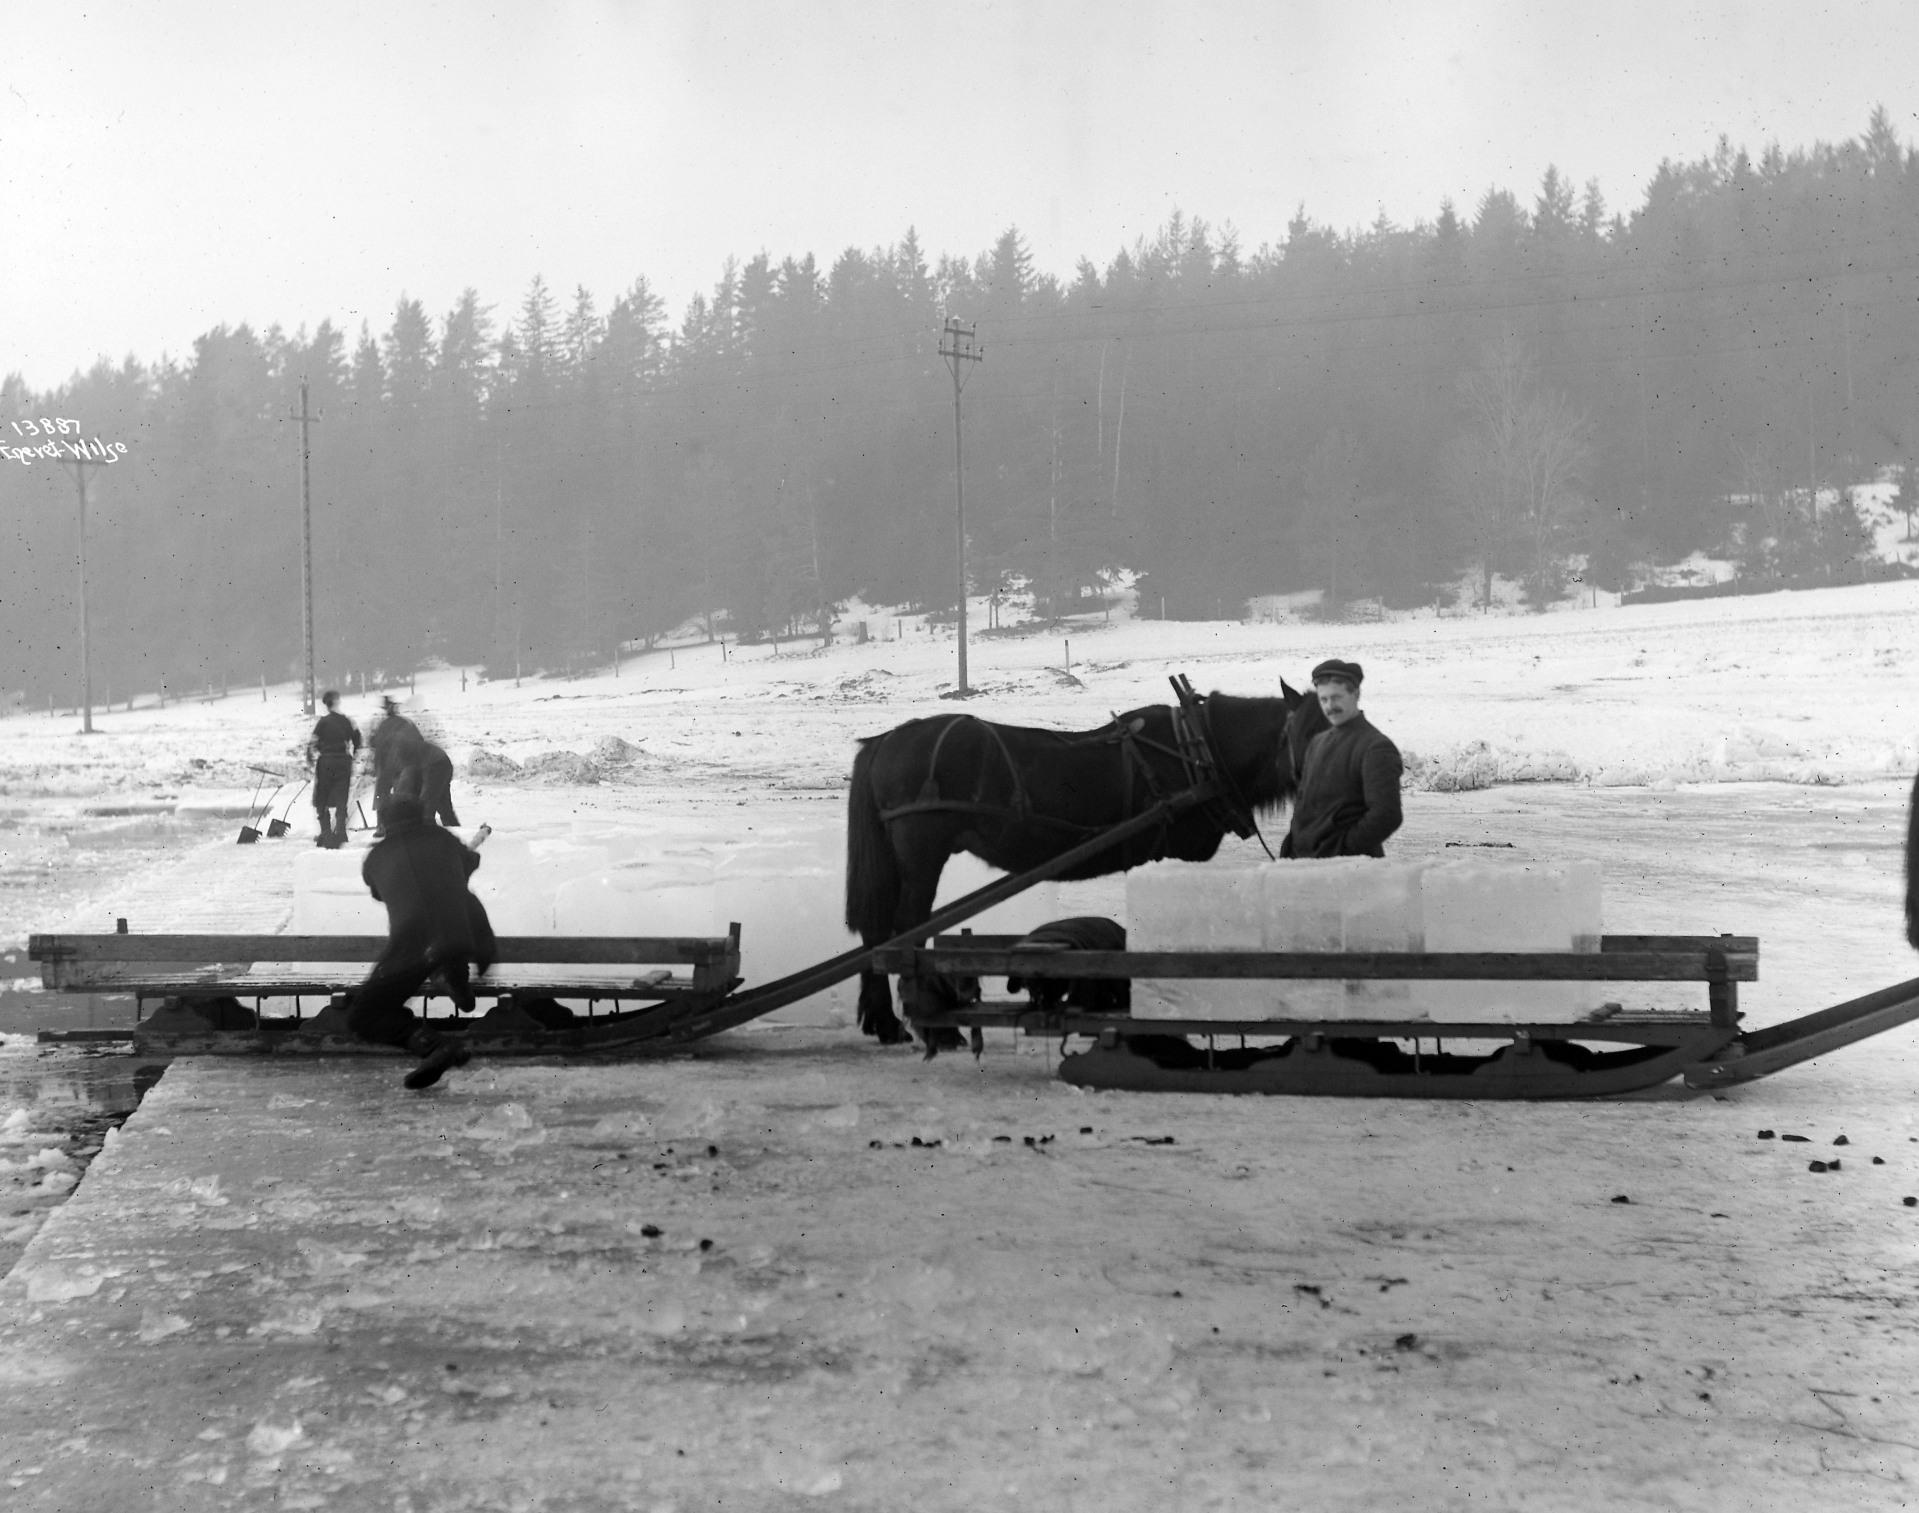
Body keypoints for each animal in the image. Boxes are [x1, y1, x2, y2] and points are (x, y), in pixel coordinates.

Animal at [848, 683, 1327, 1044]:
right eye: (1307, 729)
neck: (1198, 752)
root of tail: (886, 740)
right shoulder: (1172, 857)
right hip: (922, 853)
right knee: (906, 927)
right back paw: (933, 1028)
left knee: (877, 931)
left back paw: (885, 1023)